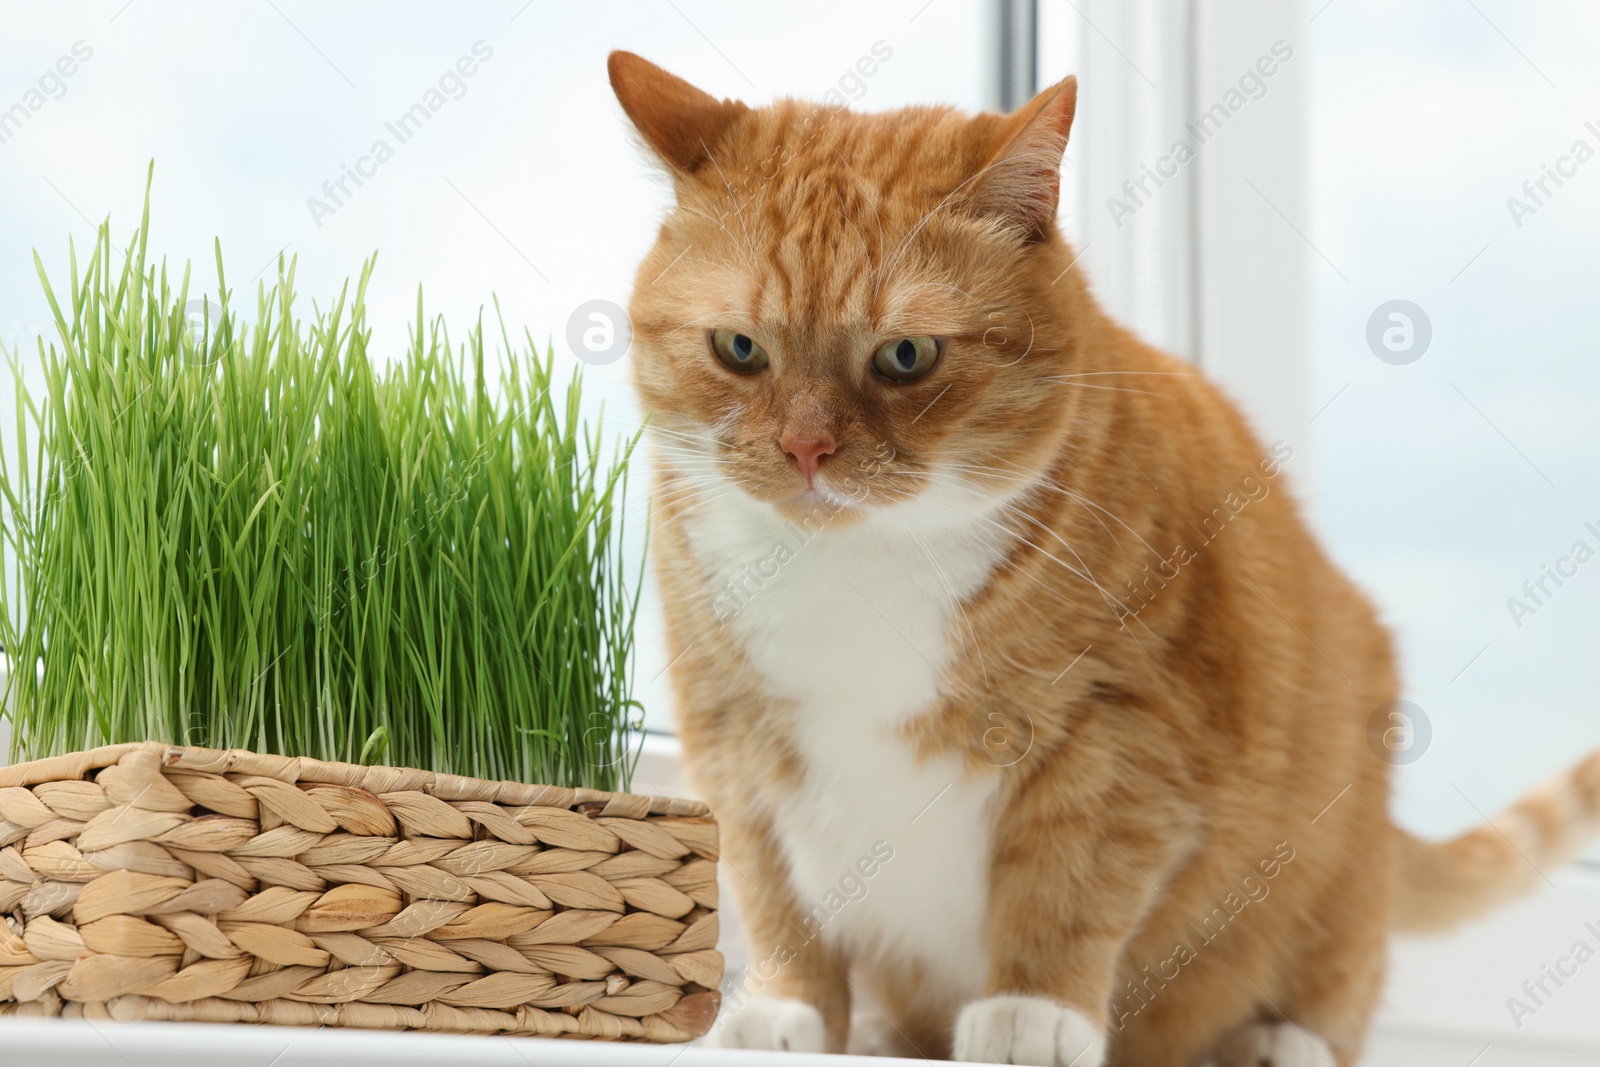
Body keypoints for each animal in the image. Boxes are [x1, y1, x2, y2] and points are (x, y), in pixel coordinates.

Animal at [604, 51, 1600, 1067]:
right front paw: (787, 1011)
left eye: (907, 355)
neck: (860, 572)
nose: (806, 450)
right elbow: (773, 893)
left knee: (1331, 990)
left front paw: (1034, 1011)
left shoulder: (1123, 729)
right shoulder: (730, 738)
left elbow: (1066, 884)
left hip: (1335, 858)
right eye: (739, 348)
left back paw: (1274, 1040)